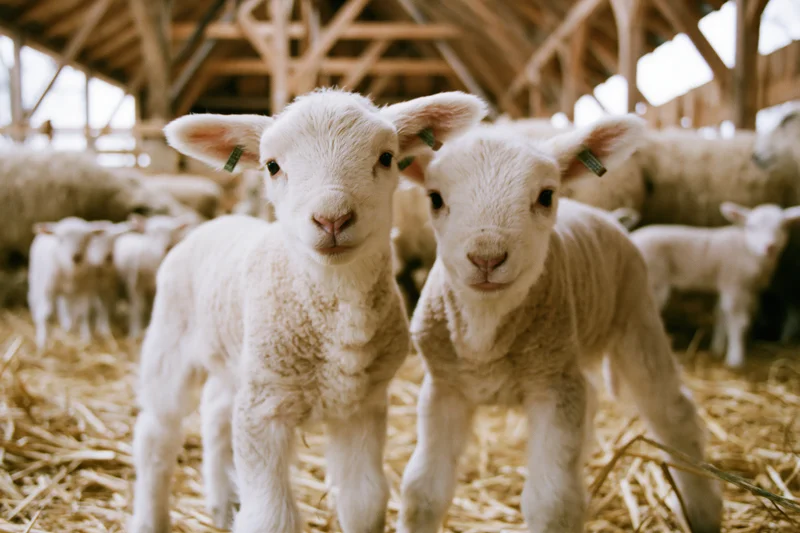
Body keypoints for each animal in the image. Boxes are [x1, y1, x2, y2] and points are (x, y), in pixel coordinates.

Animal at [27, 217, 107, 351]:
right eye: (60, 239)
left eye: (87, 239)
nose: (76, 257)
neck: (70, 273)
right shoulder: (49, 290)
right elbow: (47, 316)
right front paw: (43, 344)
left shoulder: (85, 290)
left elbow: (83, 314)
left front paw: (86, 340)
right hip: (37, 281)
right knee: (37, 304)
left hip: (69, 295)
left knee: (67, 310)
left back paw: (69, 327)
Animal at [127, 88, 487, 533]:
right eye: (272, 166)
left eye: (387, 157)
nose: (332, 218)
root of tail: (216, 223)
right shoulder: (263, 411)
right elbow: (271, 518)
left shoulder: (361, 406)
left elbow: (364, 501)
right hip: (171, 344)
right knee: (156, 434)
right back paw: (151, 517)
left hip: (239, 361)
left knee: (214, 411)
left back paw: (223, 502)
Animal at [396, 117, 722, 533]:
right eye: (435, 198)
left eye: (546, 196)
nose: (487, 258)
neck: (486, 329)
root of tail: (605, 216)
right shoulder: (444, 388)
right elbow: (422, 492)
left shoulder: (554, 389)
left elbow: (552, 504)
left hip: (636, 315)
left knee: (672, 413)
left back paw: (702, 510)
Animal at [630, 202, 800, 368]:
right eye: (751, 227)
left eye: (784, 226)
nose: (770, 246)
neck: (747, 248)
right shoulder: (735, 284)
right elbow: (738, 321)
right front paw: (735, 359)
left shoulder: (725, 284)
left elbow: (721, 314)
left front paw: (717, 348)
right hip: (655, 282)